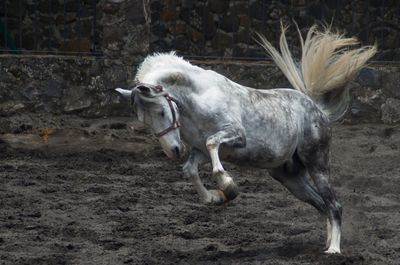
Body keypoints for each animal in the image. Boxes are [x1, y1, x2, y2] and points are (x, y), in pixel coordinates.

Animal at [115, 23, 376, 253]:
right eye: (145, 121)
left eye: (161, 111)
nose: (173, 151)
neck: (199, 98)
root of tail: (317, 109)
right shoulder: (200, 151)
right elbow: (190, 169)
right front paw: (216, 197)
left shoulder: (236, 137)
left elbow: (213, 145)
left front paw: (227, 185)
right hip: (290, 177)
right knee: (321, 204)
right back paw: (326, 242)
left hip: (317, 164)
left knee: (334, 205)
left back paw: (334, 249)